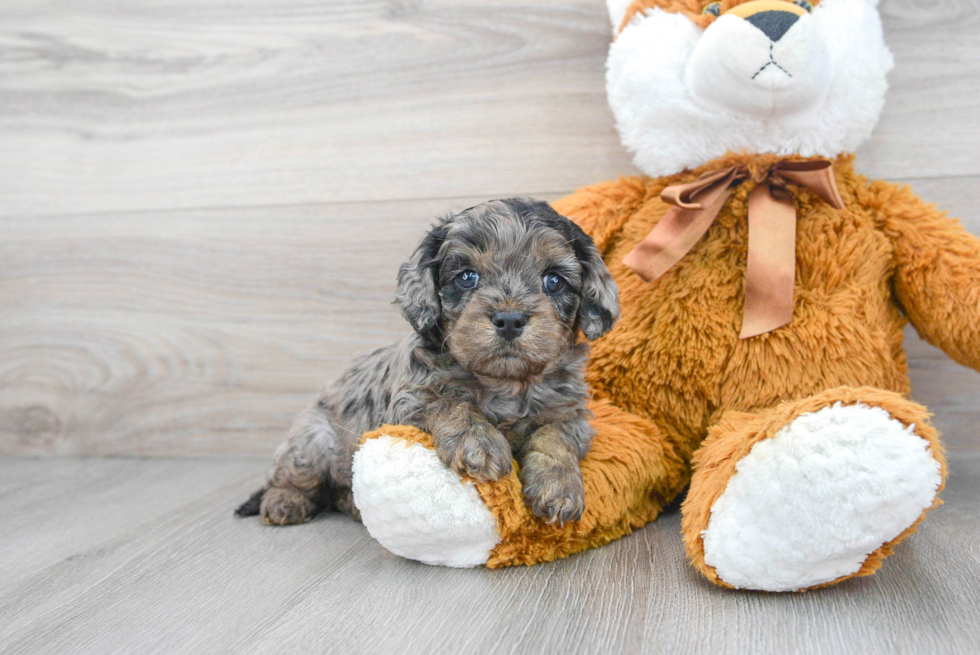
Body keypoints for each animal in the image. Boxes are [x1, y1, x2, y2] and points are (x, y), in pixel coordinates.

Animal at [236, 197, 616, 524]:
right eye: (467, 277)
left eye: (553, 280)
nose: (509, 319)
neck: (504, 382)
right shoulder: (408, 403)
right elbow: (449, 402)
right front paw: (478, 442)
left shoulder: (572, 414)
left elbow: (556, 435)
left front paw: (559, 487)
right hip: (312, 442)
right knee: (289, 478)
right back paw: (285, 501)